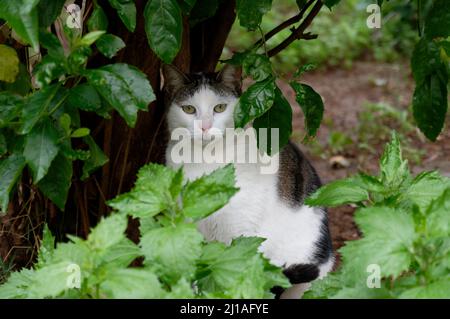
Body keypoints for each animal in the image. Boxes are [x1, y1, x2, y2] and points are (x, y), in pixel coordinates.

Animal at [163, 63, 332, 298]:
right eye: (189, 109)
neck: (206, 160)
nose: (205, 127)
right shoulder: (188, 225)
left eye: (220, 108)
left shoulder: (239, 230)